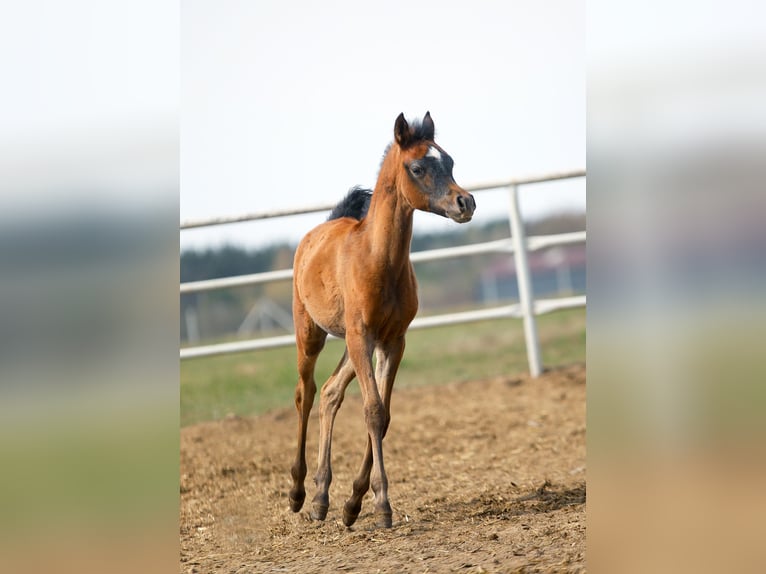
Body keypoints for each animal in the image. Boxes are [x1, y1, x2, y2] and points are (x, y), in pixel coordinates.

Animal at [288, 112, 476, 528]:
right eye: (418, 167)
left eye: (451, 161)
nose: (466, 201)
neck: (378, 260)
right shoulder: (363, 338)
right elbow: (372, 410)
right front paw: (383, 505)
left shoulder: (392, 341)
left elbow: (384, 415)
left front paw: (355, 501)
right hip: (311, 332)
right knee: (306, 393)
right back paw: (297, 492)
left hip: (351, 344)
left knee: (330, 392)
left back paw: (322, 498)